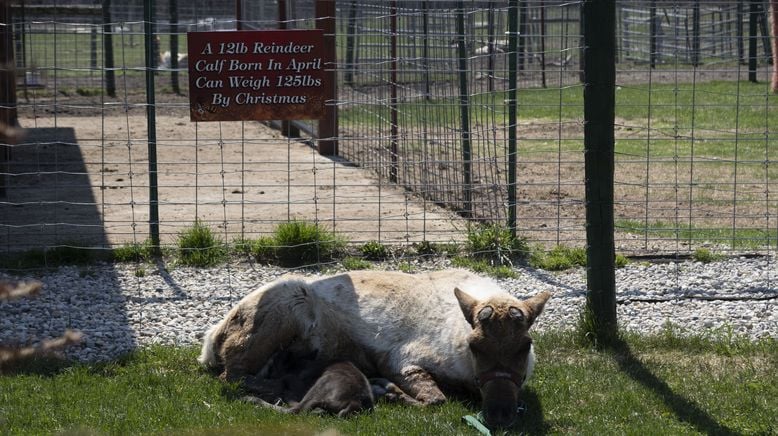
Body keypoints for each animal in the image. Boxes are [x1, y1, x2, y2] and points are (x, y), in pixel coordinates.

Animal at [200, 268, 552, 428]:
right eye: (475, 345)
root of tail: (212, 338)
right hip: (281, 312)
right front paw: (391, 392)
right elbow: (435, 400)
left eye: (526, 345)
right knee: (232, 377)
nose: (500, 413)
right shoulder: (402, 360)